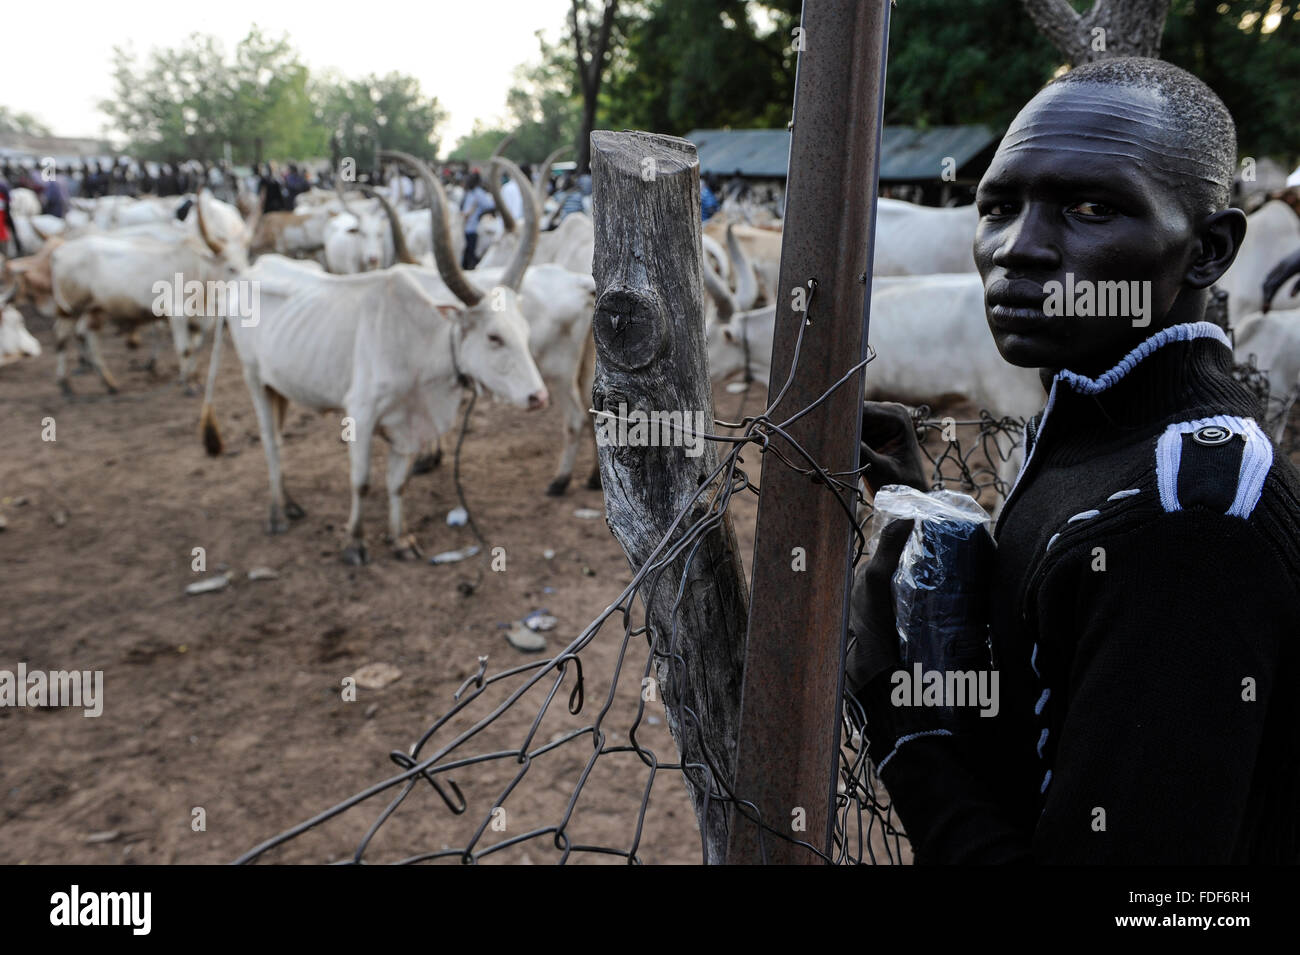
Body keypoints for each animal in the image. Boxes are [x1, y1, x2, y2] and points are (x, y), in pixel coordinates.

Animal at [200, 155, 546, 561]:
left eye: (524, 331)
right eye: (494, 337)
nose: (538, 397)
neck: (418, 345)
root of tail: (249, 272)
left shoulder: (410, 425)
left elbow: (397, 484)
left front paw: (401, 538)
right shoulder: (361, 415)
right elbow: (362, 481)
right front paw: (354, 542)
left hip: (279, 387)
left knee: (281, 440)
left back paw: (290, 504)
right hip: (254, 378)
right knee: (270, 443)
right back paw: (276, 515)